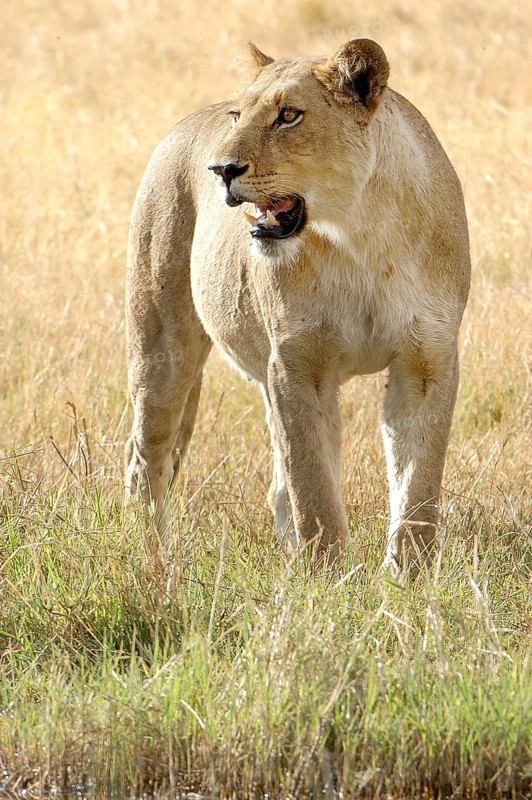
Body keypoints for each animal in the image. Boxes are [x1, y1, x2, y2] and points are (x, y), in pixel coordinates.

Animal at [124, 39, 470, 575]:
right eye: (238, 115)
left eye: (288, 115)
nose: (220, 170)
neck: (360, 237)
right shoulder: (296, 363)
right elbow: (315, 486)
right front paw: (328, 578)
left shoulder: (427, 360)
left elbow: (417, 485)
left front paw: (408, 579)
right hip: (161, 344)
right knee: (147, 457)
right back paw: (152, 559)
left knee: (275, 485)